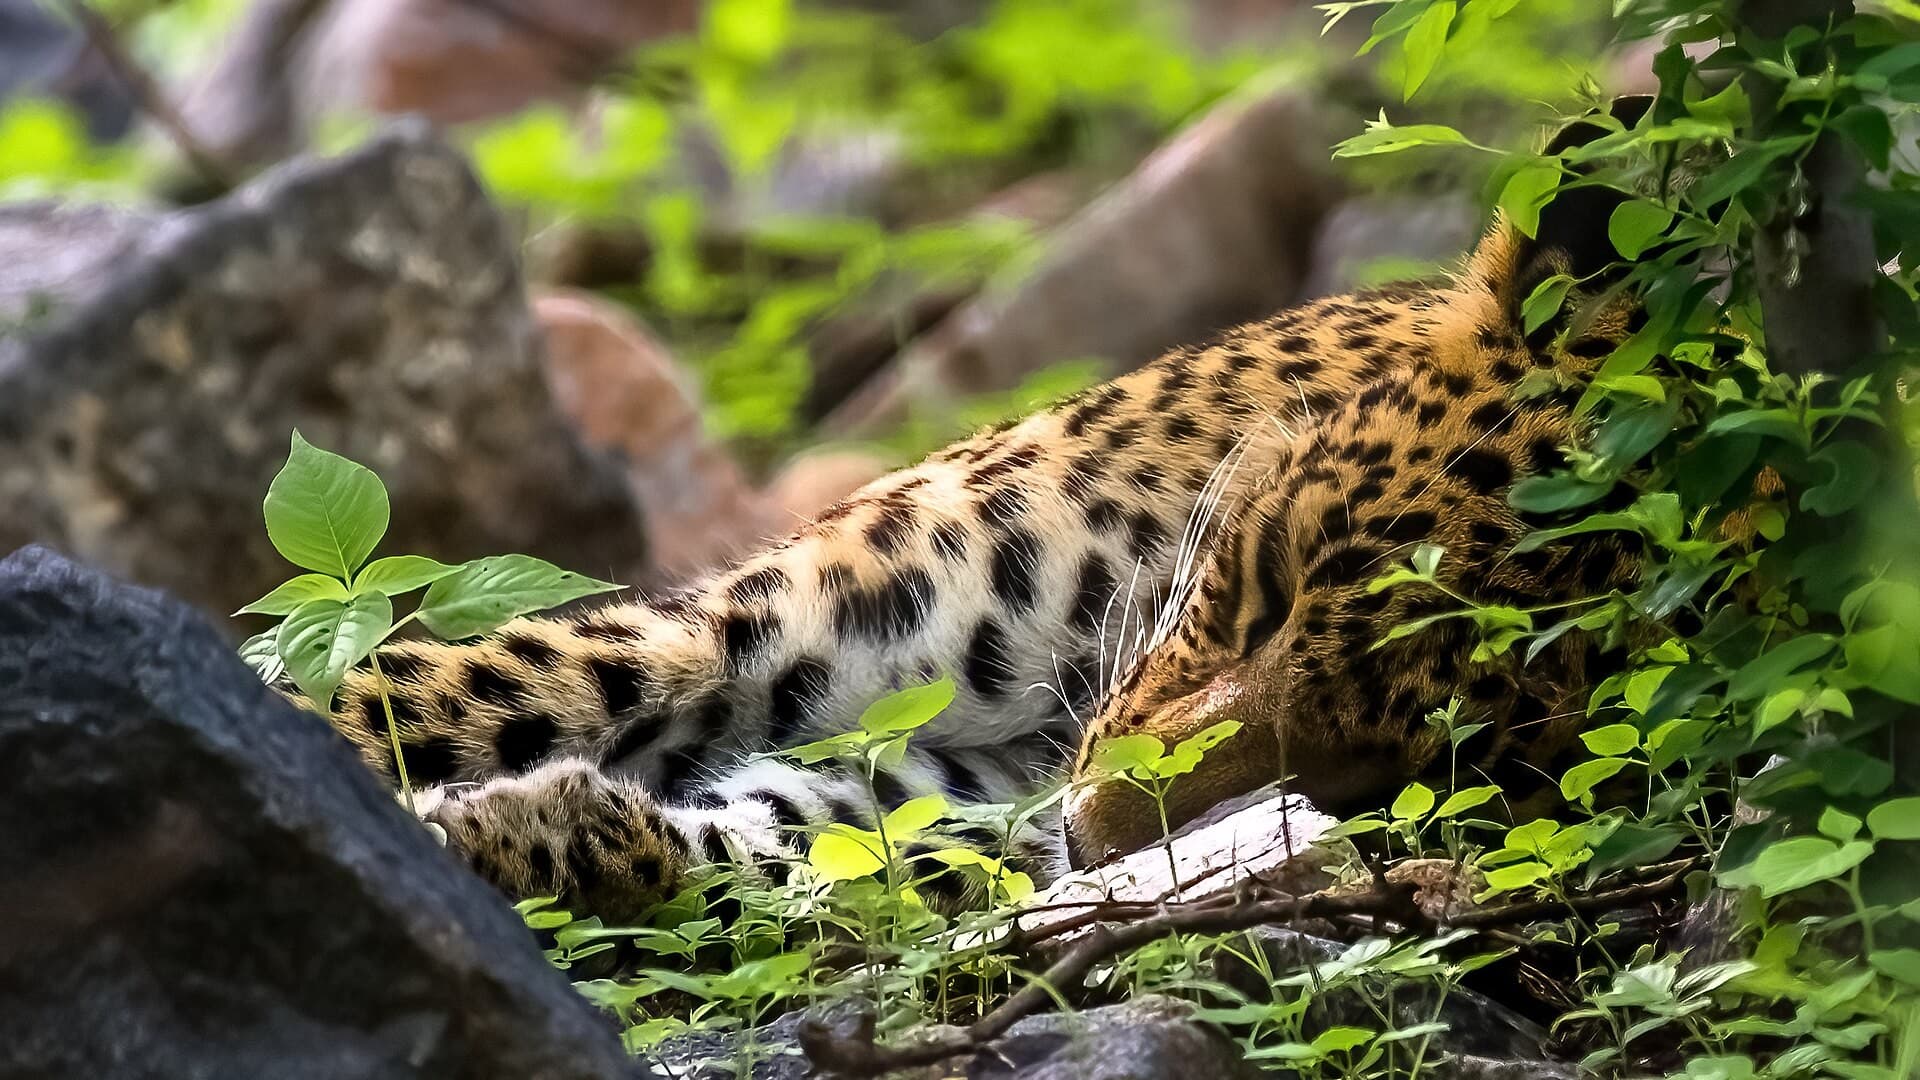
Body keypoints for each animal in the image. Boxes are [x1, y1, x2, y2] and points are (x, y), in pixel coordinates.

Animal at [308, 104, 1666, 922]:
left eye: (1422, 770)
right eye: (1268, 580)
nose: (1100, 836)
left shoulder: (946, 790)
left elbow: (793, 842)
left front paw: (517, 838)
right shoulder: (746, 628)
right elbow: (436, 689)